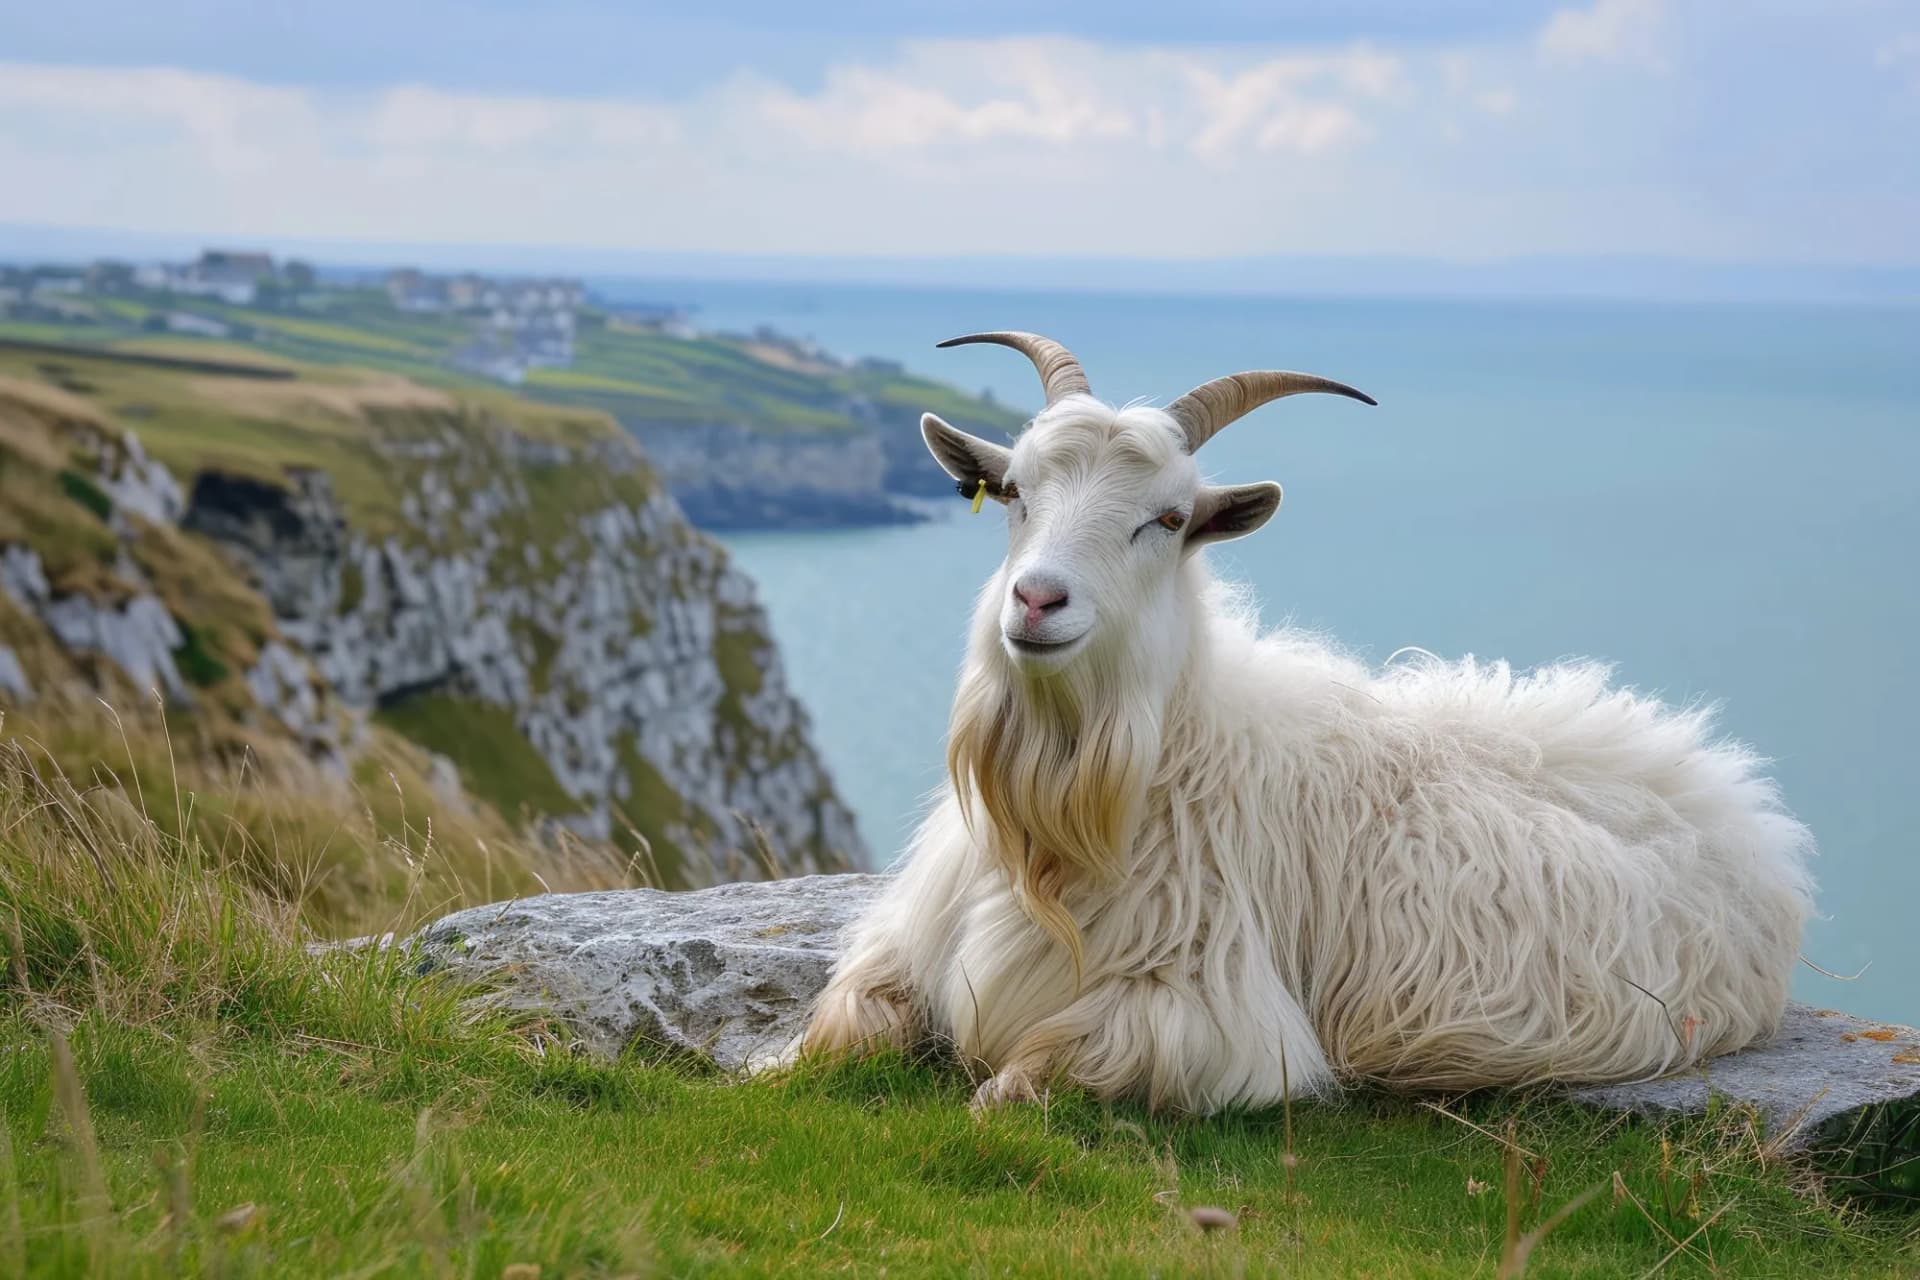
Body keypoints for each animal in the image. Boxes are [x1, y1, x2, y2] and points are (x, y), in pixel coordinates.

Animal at [799, 331, 1814, 1112]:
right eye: (1014, 493)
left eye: (1168, 519)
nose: (1038, 600)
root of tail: (1733, 798)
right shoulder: (904, 950)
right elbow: (842, 1026)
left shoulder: (1212, 1016)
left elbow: (1033, 1070)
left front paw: (988, 1095)